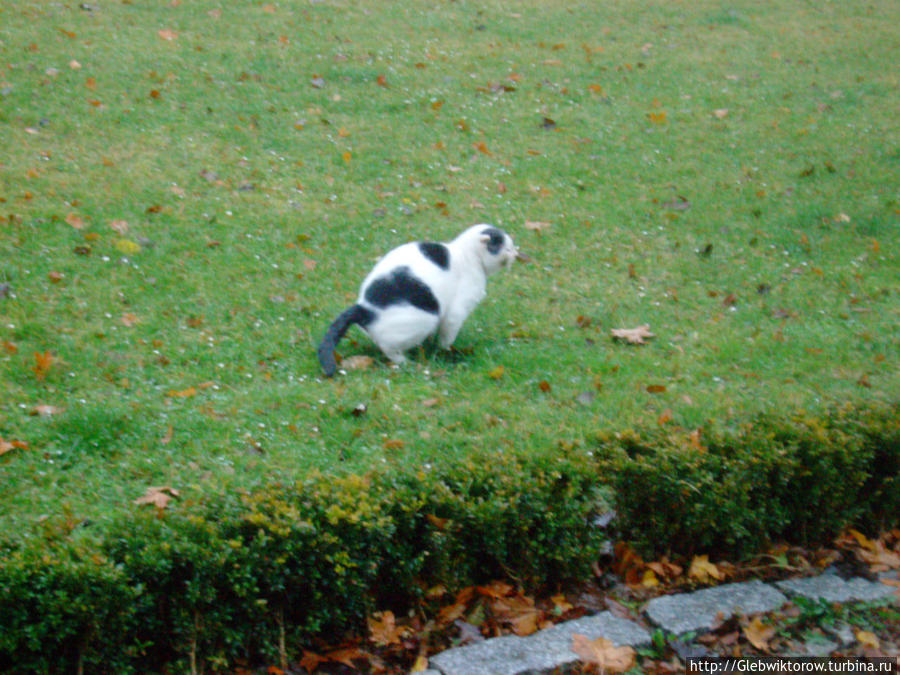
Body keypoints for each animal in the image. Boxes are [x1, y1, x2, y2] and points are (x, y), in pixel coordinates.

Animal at [320, 226, 524, 374]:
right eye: (507, 248)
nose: (516, 254)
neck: (467, 255)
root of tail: (363, 308)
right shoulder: (455, 313)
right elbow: (446, 338)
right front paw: (445, 351)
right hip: (426, 317)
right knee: (389, 348)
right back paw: (406, 362)